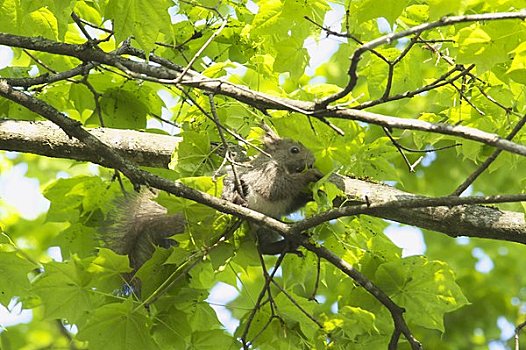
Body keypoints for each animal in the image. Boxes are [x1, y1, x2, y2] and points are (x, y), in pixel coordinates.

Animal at [101, 127, 324, 274]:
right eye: (294, 150)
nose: (312, 162)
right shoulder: (263, 173)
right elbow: (275, 188)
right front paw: (309, 176)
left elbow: (288, 202)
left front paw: (313, 192)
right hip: (228, 187)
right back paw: (236, 199)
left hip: (265, 225)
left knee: (263, 246)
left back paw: (287, 244)